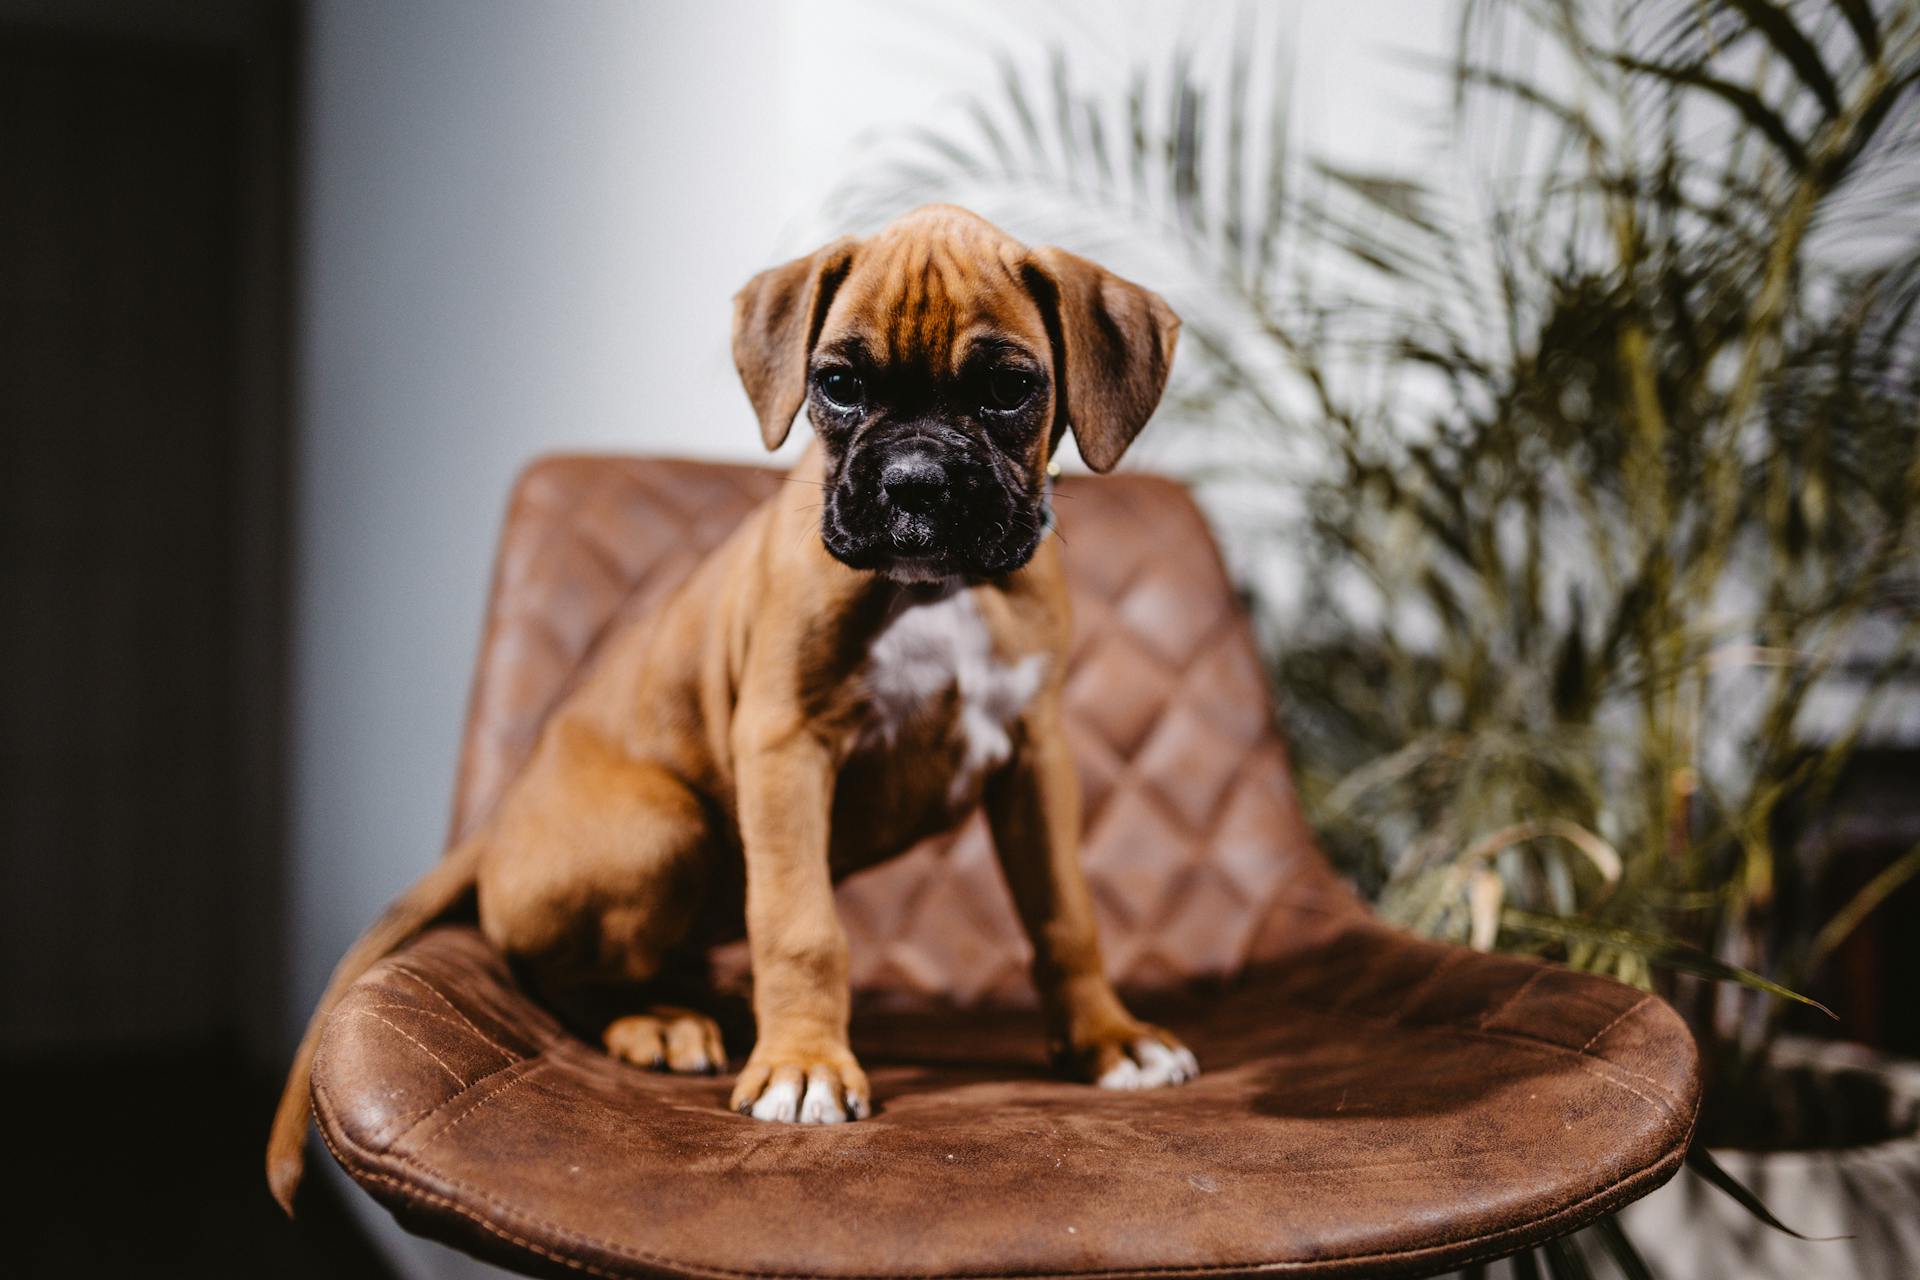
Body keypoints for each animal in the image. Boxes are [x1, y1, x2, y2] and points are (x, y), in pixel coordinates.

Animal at [266, 202, 1198, 1212]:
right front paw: (805, 1064)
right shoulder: (786, 746)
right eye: (838, 384)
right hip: (662, 826)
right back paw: (658, 1020)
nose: (914, 480)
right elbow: (801, 926)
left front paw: (1108, 1040)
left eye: (1008, 388)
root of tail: (497, 824)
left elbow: (1066, 912)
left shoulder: (1035, 753)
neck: (935, 596)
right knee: (548, 970)